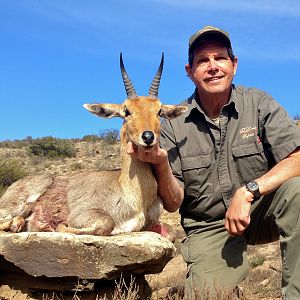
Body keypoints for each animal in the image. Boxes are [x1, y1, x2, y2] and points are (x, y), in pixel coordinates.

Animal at [0, 54, 188, 239]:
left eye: (159, 111)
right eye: (126, 111)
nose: (148, 137)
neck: (133, 196)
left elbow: (171, 232)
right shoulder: (81, 215)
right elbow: (106, 224)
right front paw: (58, 226)